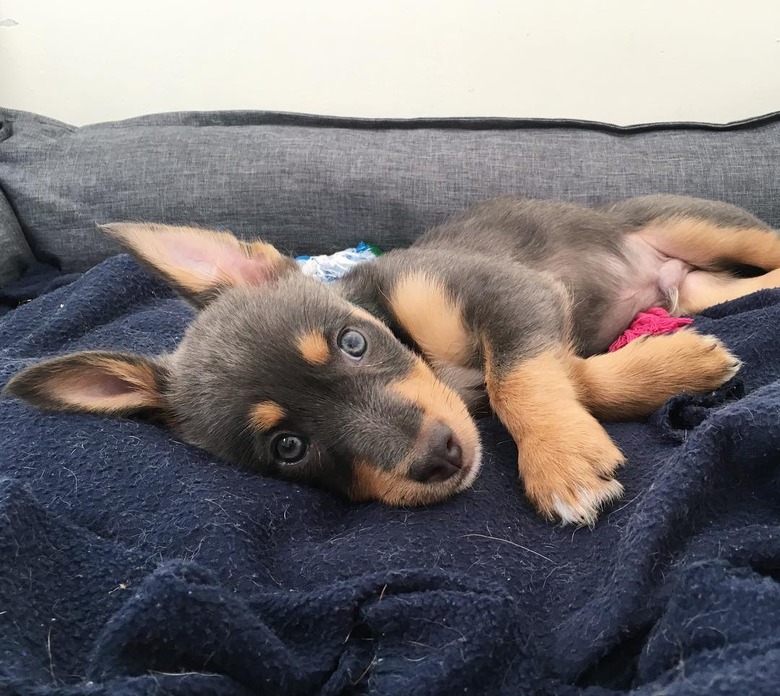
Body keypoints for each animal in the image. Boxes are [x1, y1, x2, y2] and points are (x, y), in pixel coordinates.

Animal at [6, 193, 780, 524]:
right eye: (288, 447)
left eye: (354, 343)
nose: (439, 459)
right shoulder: (537, 318)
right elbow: (567, 378)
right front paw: (674, 366)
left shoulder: (512, 292)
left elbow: (516, 379)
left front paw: (559, 462)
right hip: (703, 285)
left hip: (700, 225)